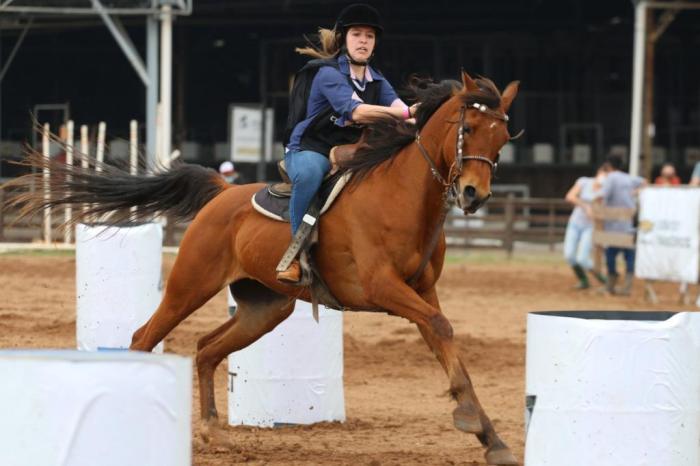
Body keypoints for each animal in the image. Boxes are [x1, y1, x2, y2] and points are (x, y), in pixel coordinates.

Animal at [2, 71, 520, 464]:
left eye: (502, 137)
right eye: (468, 129)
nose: (474, 194)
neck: (401, 196)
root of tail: (221, 192)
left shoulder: (421, 292)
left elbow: (443, 335)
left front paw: (490, 436)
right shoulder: (382, 289)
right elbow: (440, 327)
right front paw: (474, 422)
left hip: (265, 308)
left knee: (206, 349)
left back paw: (213, 432)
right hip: (189, 286)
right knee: (143, 337)